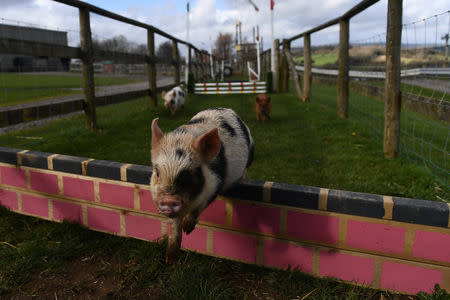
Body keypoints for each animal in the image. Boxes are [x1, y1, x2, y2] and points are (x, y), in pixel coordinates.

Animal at [150, 108, 253, 262]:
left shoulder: (215, 184)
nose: (168, 200)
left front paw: (187, 229)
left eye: (188, 175)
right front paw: (170, 259)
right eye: (157, 173)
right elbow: (174, 226)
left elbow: (199, 207)